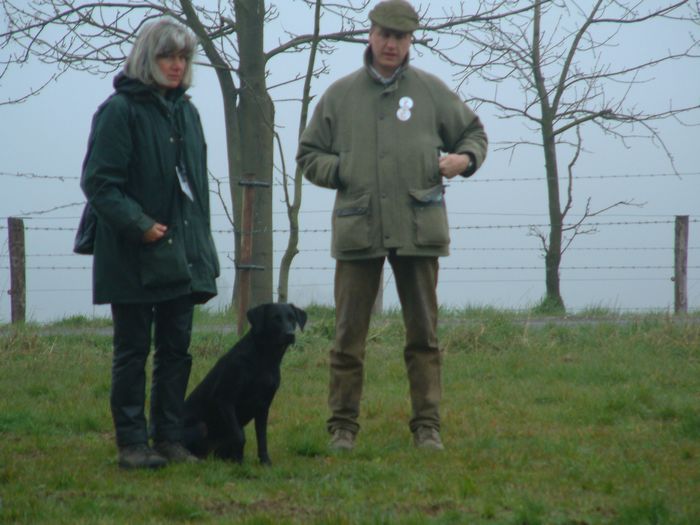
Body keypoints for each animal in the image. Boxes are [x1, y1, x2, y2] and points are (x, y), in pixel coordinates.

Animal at [183, 302, 306, 465]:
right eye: (276, 318)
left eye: (292, 318)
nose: (290, 334)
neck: (264, 359)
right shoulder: (225, 400)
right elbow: (240, 436)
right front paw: (239, 462)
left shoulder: (263, 406)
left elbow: (262, 438)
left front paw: (265, 462)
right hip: (201, 426)